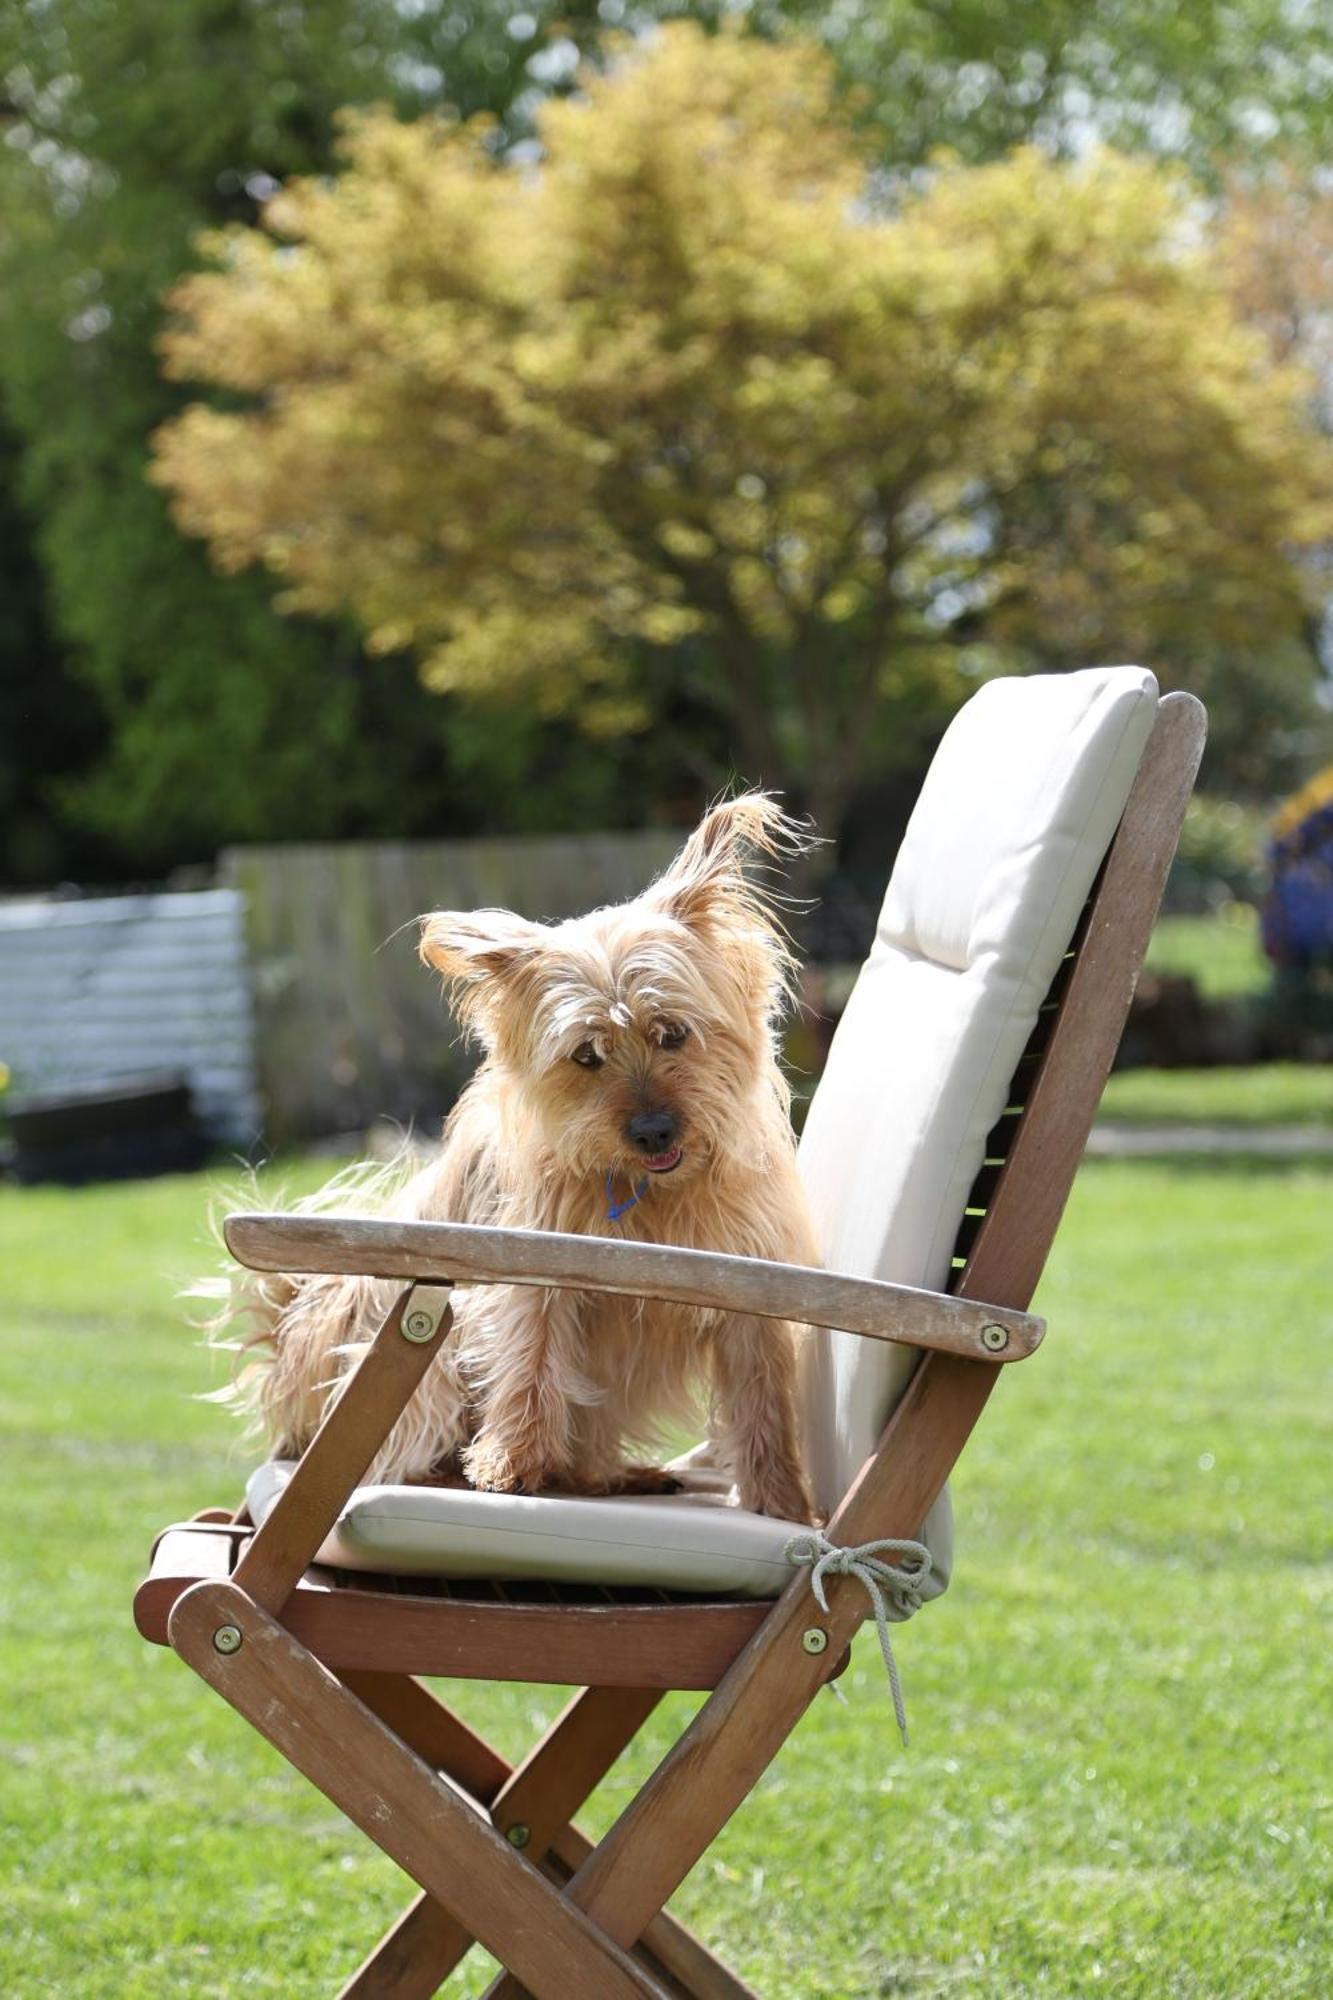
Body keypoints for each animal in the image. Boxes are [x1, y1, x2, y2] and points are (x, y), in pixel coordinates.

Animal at [240, 788, 820, 1520]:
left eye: (673, 1033)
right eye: (586, 1055)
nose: (653, 1131)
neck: (649, 1195)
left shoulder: (752, 1286)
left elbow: (763, 1399)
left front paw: (783, 1503)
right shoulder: (534, 1265)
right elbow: (531, 1357)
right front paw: (509, 1464)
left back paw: (612, 1475)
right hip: (400, 1340)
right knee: (404, 1442)